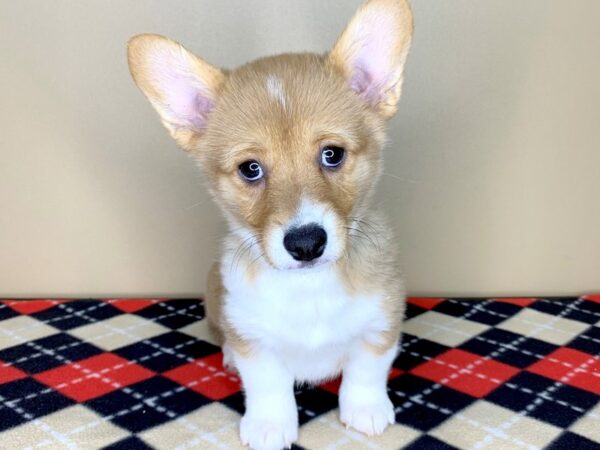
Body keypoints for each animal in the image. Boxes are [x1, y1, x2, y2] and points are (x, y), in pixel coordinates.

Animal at [127, 1, 412, 448]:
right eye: (251, 169)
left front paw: (365, 410)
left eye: (332, 154)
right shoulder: (254, 341)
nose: (306, 243)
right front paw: (269, 425)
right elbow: (267, 385)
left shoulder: (382, 320)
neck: (309, 289)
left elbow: (366, 370)